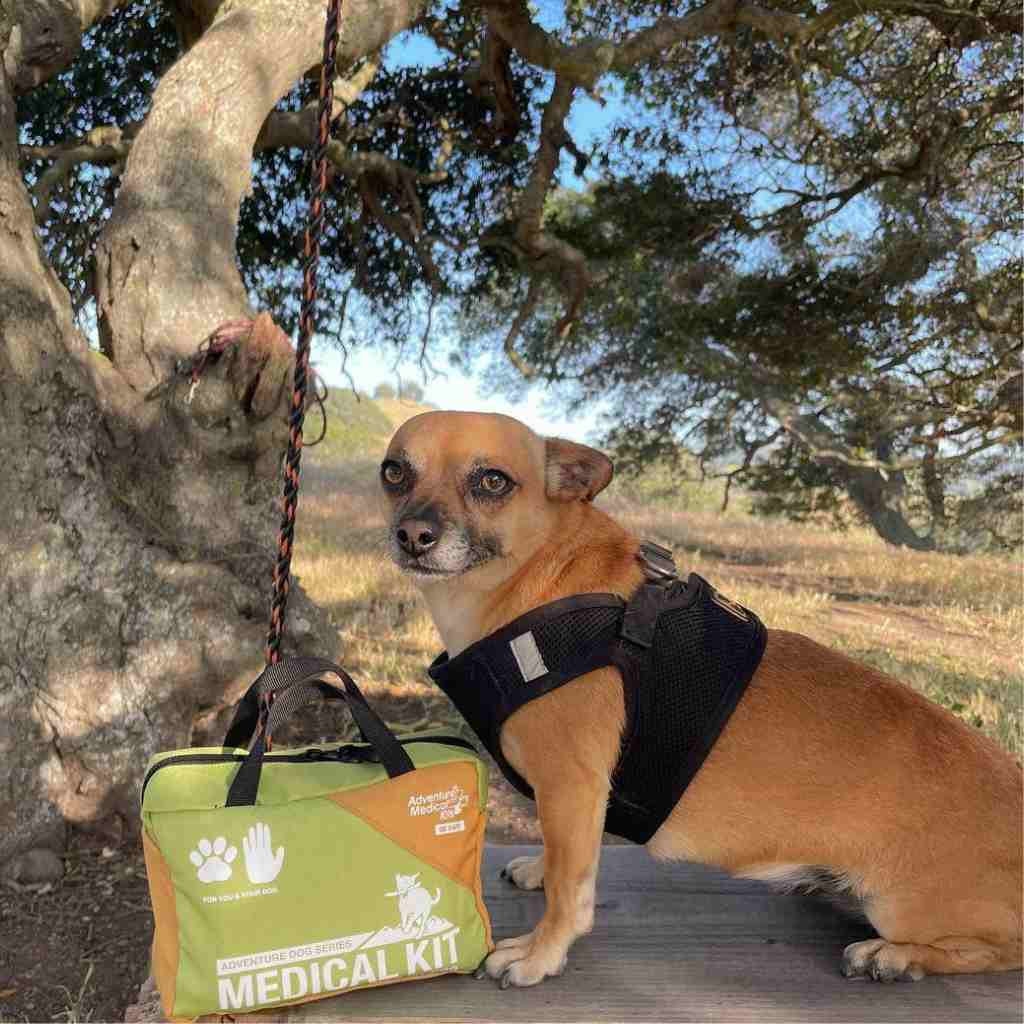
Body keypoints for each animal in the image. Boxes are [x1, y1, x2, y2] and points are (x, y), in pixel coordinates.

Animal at [380, 411, 1019, 987]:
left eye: (492, 481)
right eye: (394, 472)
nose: (413, 535)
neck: (538, 581)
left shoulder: (572, 785)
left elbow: (570, 889)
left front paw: (541, 954)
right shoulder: (569, 803)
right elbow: (564, 858)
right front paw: (538, 869)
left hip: (900, 907)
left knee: (998, 952)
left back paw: (896, 957)